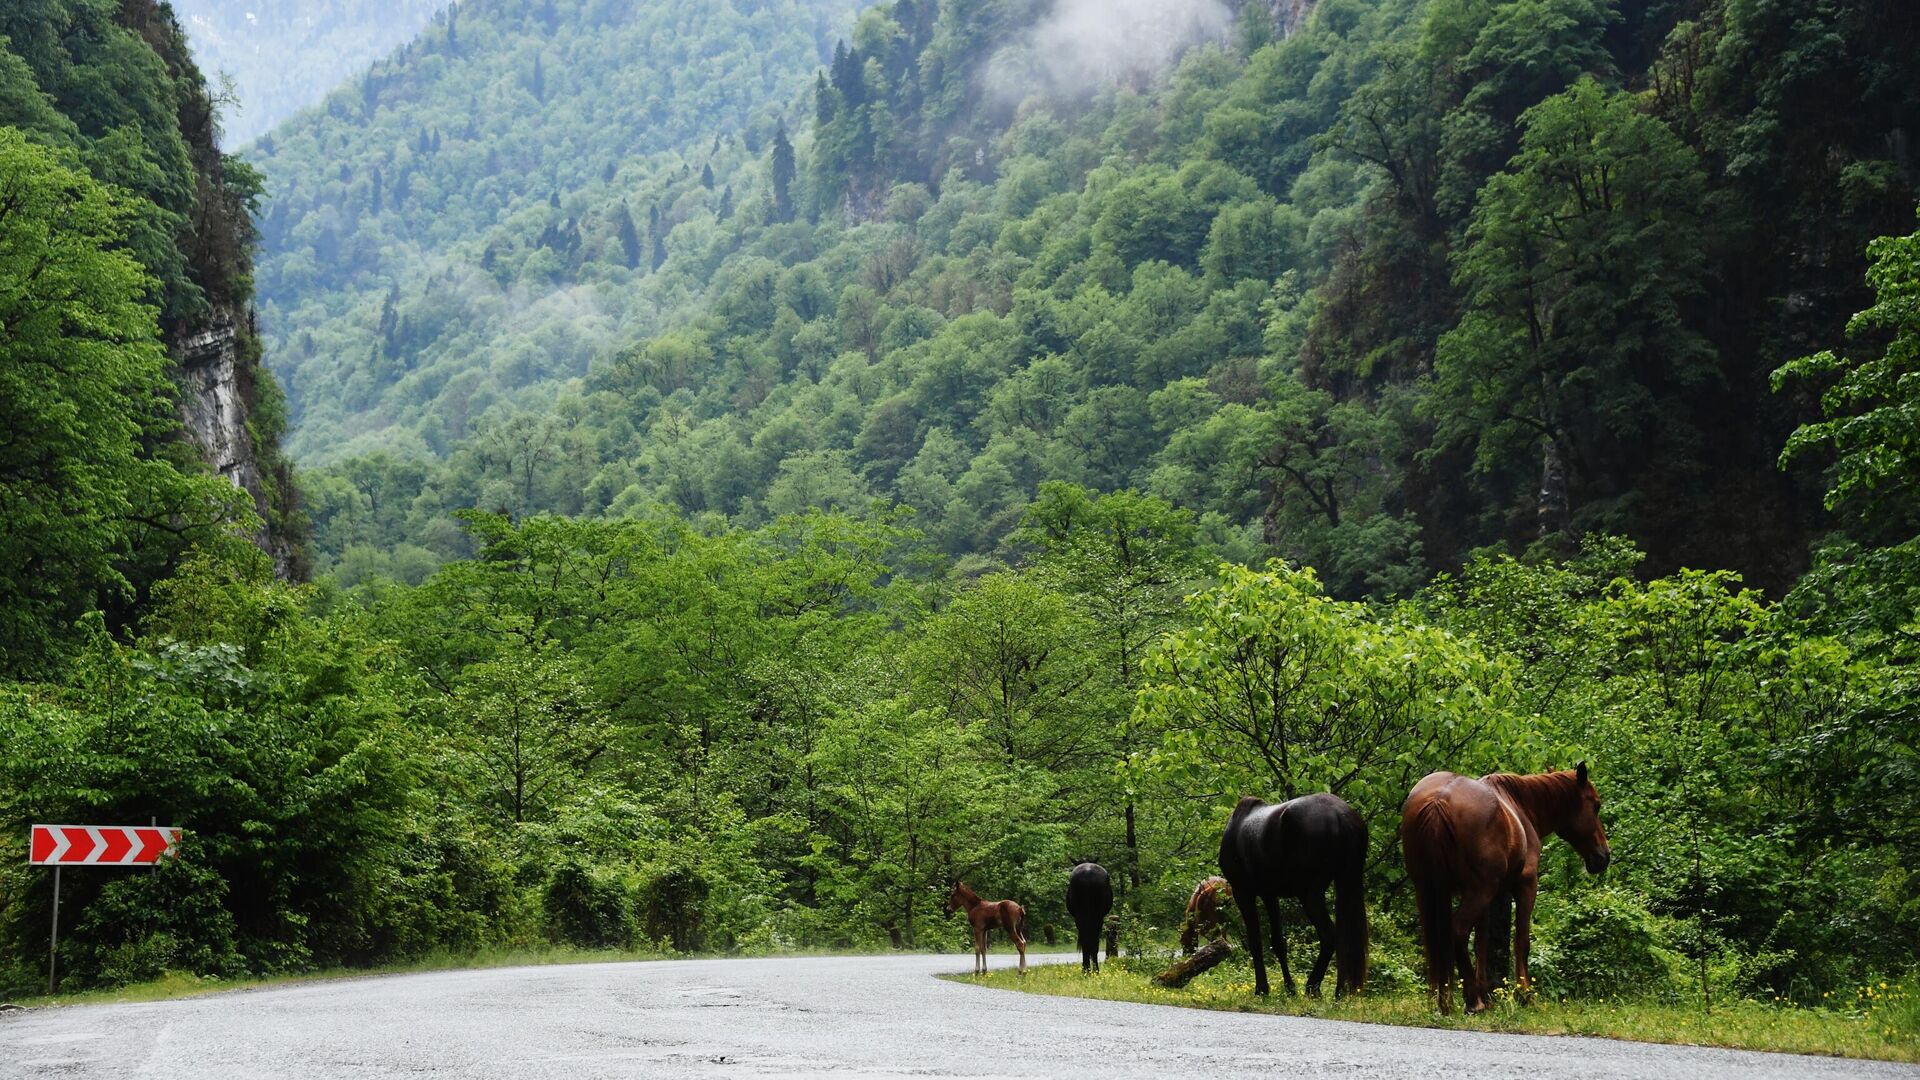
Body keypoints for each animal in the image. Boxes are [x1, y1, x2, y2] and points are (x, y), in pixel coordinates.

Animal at [1213, 791, 1367, 991]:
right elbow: (1278, 942)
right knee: (1345, 939)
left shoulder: (1243, 892)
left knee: (1329, 936)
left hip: (1309, 894)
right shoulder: (1269, 894)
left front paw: (1262, 988)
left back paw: (1313, 987)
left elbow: (1255, 941)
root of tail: (1340, 814)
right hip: (1347, 882)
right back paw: (1339, 991)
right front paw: (1289, 987)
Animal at [1405, 757, 1612, 1006]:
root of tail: (1438, 800)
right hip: (1477, 892)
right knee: (1458, 931)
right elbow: (1521, 941)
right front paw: (1524, 995)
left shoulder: (1485, 897)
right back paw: (1472, 1001)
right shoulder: (1525, 886)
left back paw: (1445, 1002)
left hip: (1430, 889)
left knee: (1438, 939)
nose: (1604, 856)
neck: (1522, 808)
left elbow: (1481, 943)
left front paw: (1486, 993)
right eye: (1596, 805)